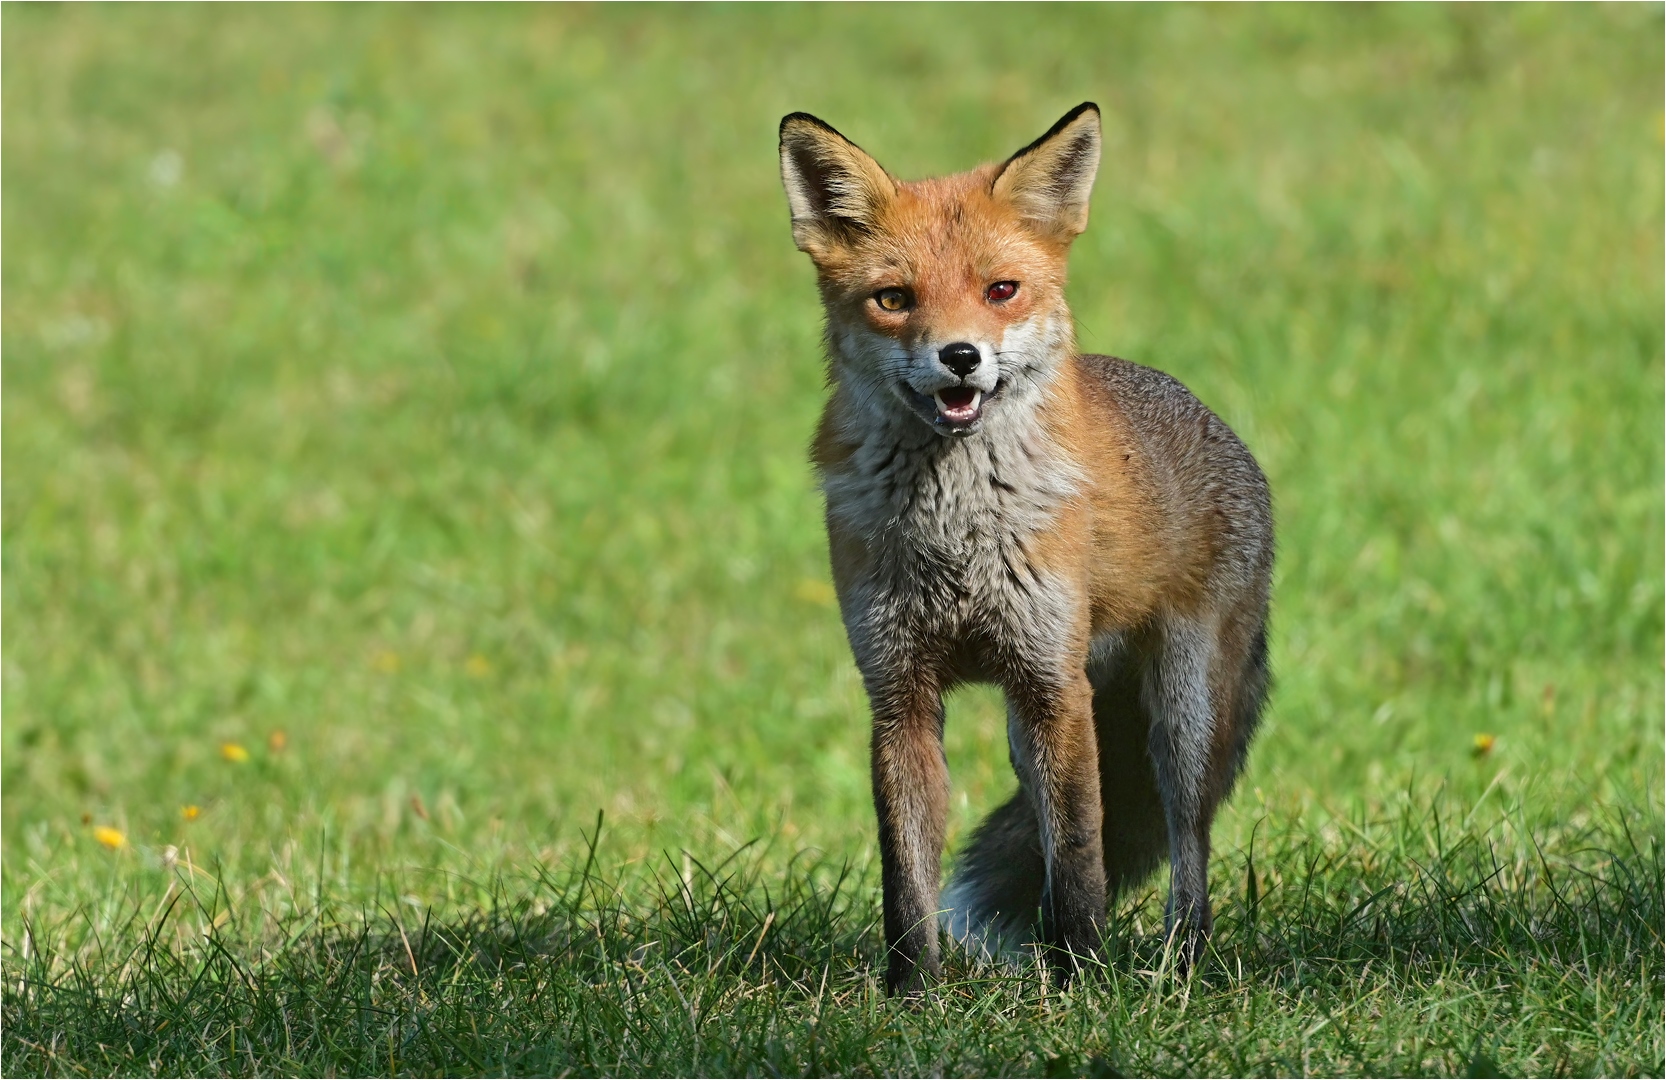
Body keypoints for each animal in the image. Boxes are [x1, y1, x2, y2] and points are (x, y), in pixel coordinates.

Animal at [779, 105, 1272, 993]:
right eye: (894, 299)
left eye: (1000, 291)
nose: (960, 356)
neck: (955, 535)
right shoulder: (900, 693)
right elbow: (906, 874)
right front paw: (912, 994)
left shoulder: (1051, 683)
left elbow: (1079, 856)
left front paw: (1081, 984)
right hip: (1027, 731)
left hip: (1179, 718)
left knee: (1189, 849)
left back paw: (1178, 968)